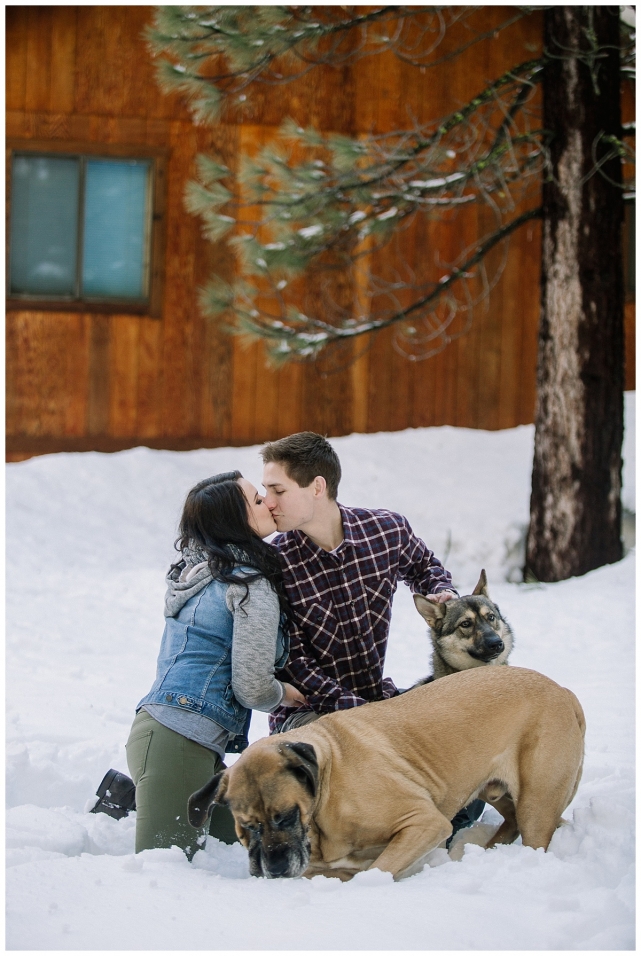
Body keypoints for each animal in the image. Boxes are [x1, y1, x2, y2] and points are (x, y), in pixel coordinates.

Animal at [188, 664, 584, 880]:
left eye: (285, 816)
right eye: (247, 826)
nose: (274, 868)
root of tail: (564, 691)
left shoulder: (424, 822)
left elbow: (376, 868)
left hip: (536, 801)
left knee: (534, 832)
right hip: (495, 788)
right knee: (514, 820)